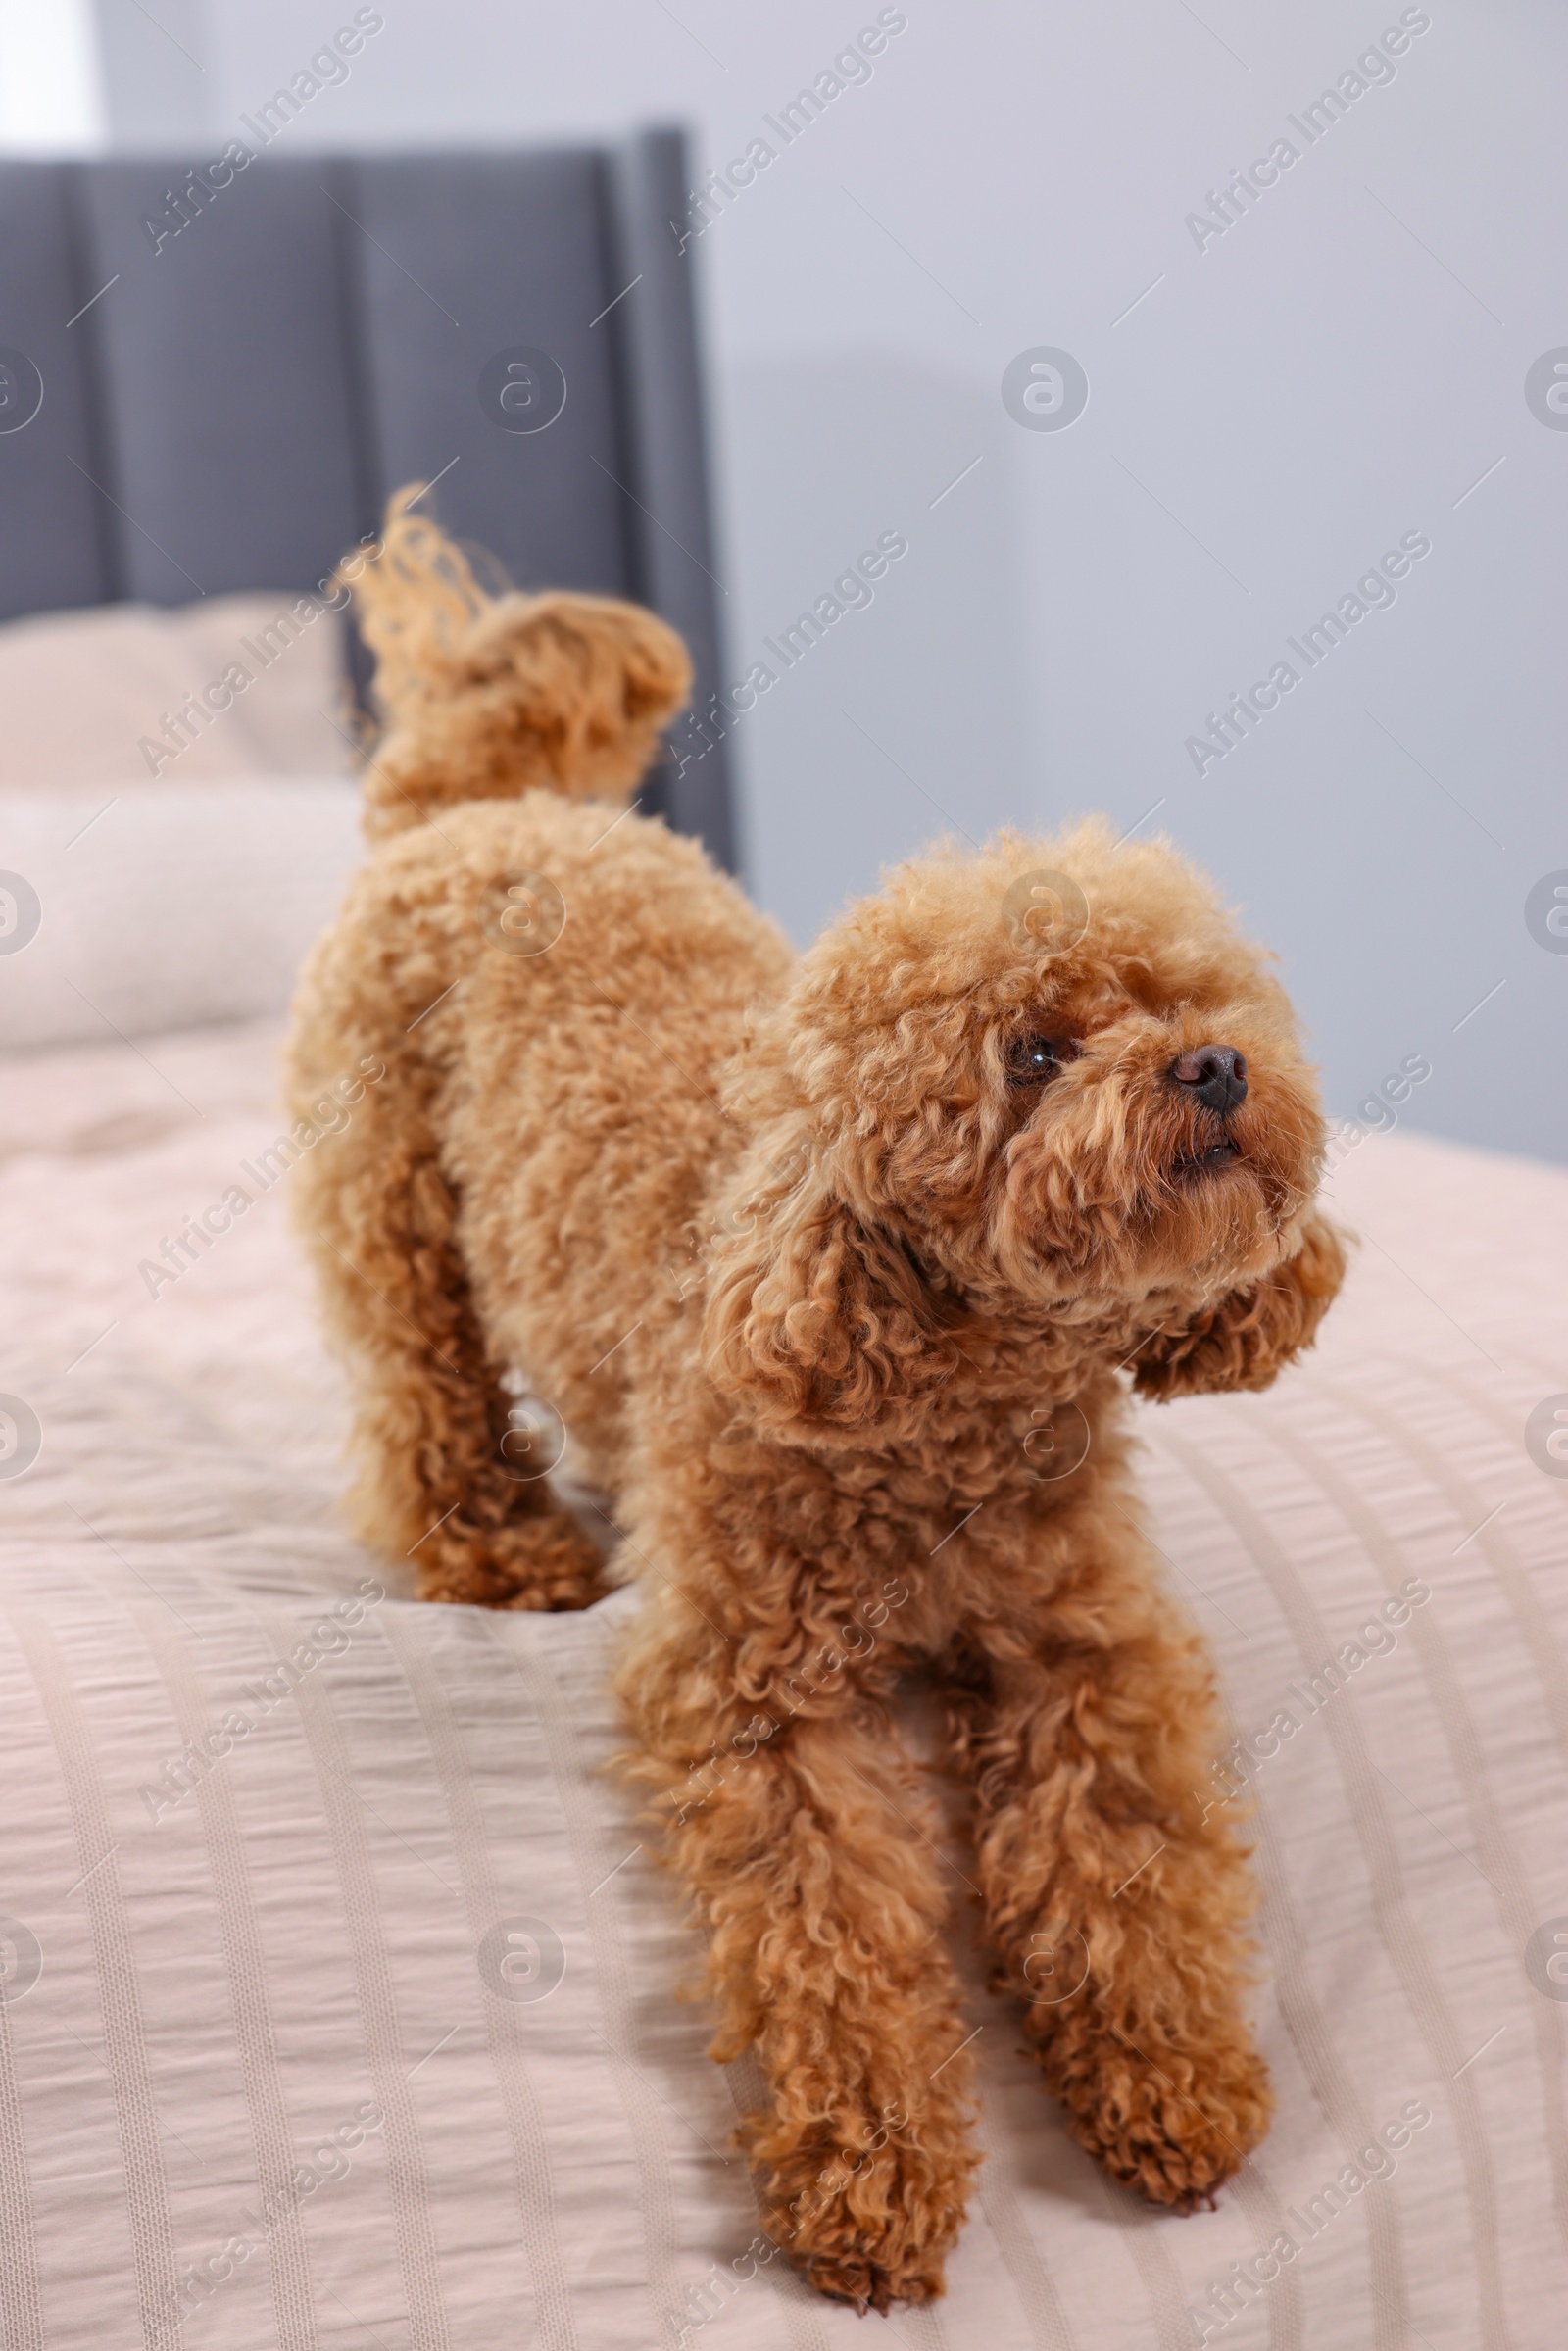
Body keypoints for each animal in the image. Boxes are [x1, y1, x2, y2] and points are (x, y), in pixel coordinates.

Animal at [291, 491, 1353, 2313]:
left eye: (1187, 999)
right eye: (1034, 1053)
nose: (1213, 1068)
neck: (943, 1404)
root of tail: (482, 805)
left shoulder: (1080, 1642)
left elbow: (1124, 1860)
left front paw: (1174, 2086)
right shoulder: (760, 1693)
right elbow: (833, 1931)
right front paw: (875, 2176)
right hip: (393, 1206)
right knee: (422, 1391)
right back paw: (504, 1542)